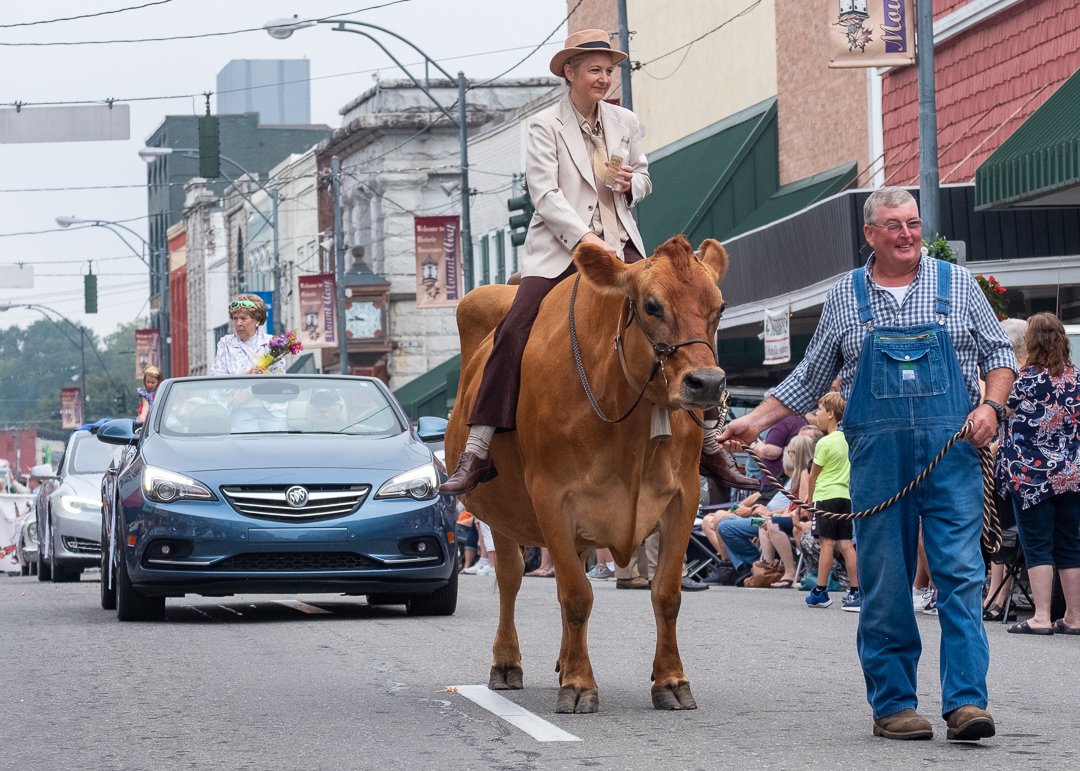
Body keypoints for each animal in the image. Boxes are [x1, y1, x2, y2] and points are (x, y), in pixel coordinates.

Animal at [442, 233, 730, 708]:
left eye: (719, 307)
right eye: (651, 305)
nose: (706, 383)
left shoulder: (683, 496)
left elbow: (666, 594)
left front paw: (671, 680)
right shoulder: (550, 497)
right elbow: (576, 595)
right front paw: (579, 685)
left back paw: (562, 660)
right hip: (499, 513)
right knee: (511, 577)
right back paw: (507, 663)